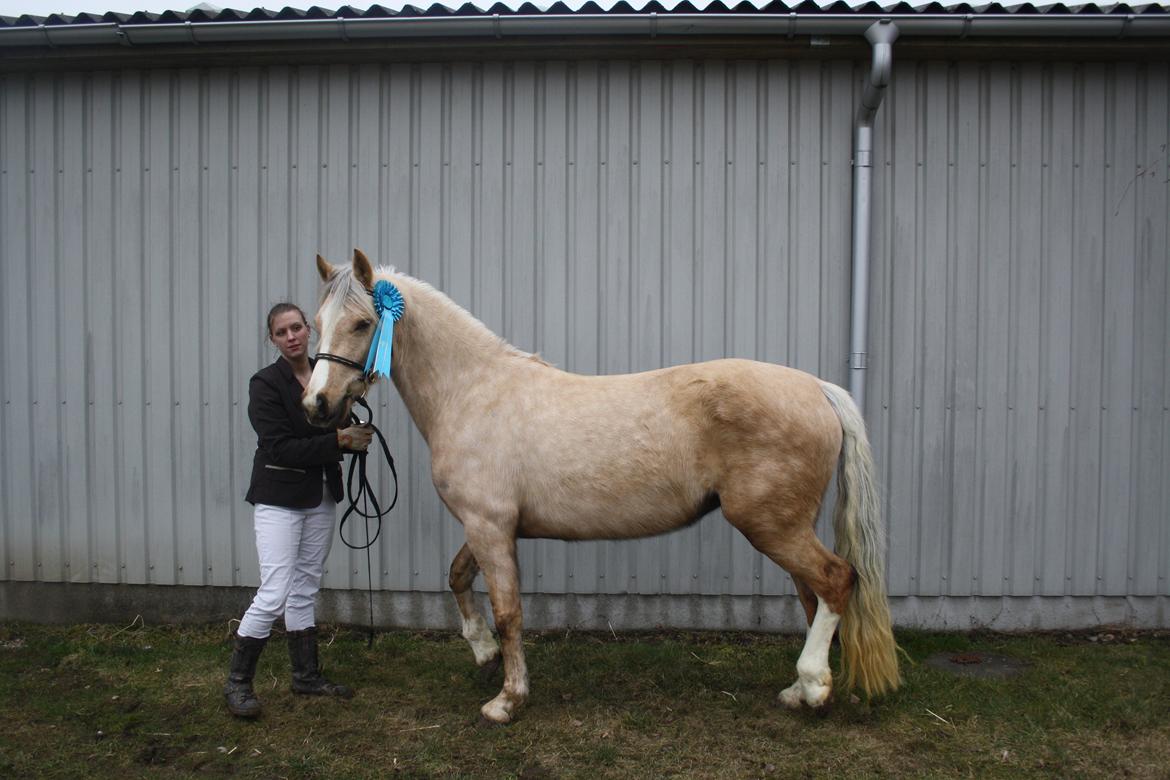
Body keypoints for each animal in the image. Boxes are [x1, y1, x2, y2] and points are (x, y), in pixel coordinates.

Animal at [306, 249, 898, 725]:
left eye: (362, 323)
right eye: (316, 323)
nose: (317, 404)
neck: (473, 392)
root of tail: (818, 388)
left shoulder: (490, 526)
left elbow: (509, 612)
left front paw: (507, 699)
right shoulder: (489, 525)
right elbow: (456, 577)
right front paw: (483, 653)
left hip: (771, 524)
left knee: (837, 580)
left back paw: (814, 687)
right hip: (787, 524)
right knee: (813, 592)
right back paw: (800, 690)